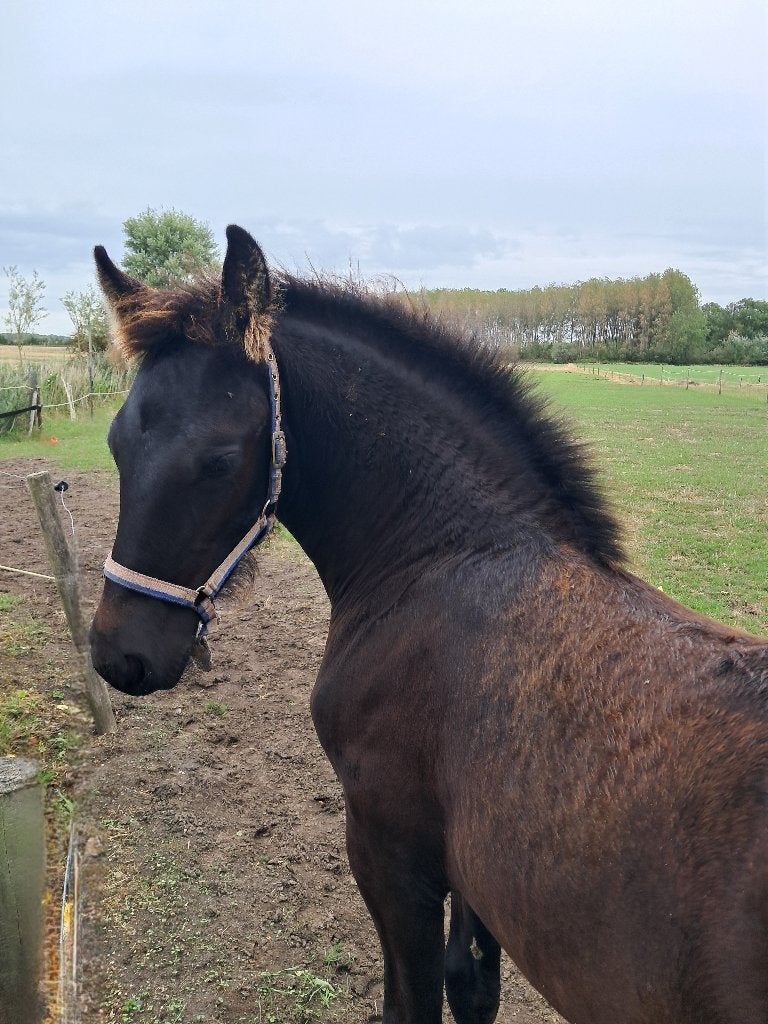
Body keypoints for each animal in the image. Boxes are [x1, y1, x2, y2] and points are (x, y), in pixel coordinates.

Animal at [89, 225, 768, 1024]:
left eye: (221, 460)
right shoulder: (470, 871)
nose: (119, 655)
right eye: (115, 442)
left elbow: (409, 1002)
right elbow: (470, 984)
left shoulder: (389, 852)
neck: (446, 557)